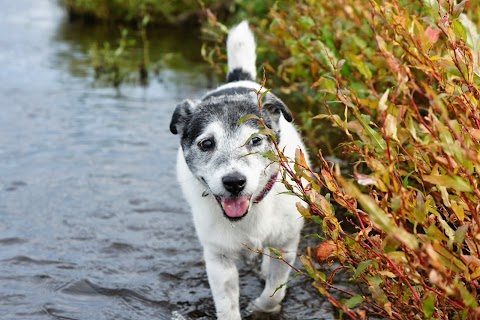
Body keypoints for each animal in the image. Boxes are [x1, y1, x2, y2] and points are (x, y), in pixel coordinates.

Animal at [171, 21, 310, 318]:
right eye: (207, 143)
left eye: (255, 140)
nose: (234, 182)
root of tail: (237, 80)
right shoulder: (218, 259)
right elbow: (227, 304)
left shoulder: (286, 245)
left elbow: (273, 291)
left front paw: (261, 307)